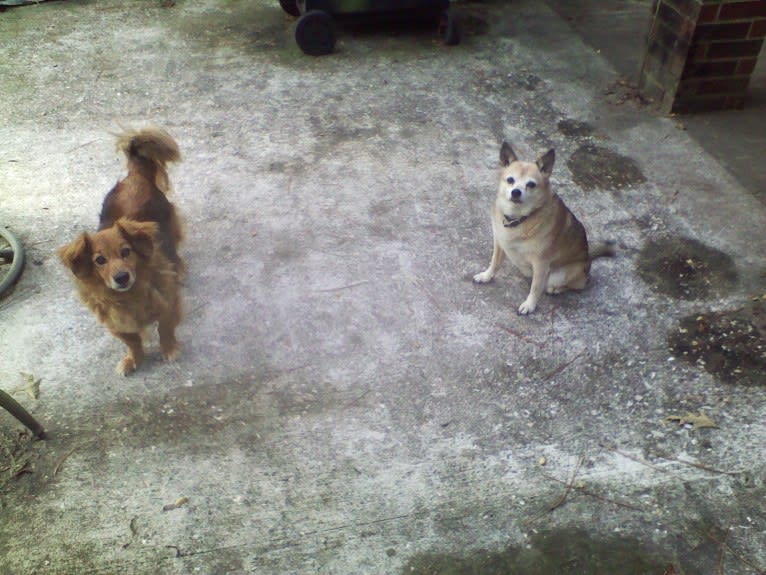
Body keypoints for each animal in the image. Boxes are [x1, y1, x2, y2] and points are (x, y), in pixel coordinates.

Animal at [59, 127, 184, 376]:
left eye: (126, 251)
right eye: (99, 260)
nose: (121, 277)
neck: (128, 296)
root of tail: (135, 176)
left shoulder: (167, 303)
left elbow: (165, 329)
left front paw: (169, 350)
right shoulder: (117, 323)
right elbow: (133, 343)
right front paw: (133, 360)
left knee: (176, 256)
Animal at [476, 142, 616, 318]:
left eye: (531, 184)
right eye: (510, 180)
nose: (516, 192)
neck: (519, 219)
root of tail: (588, 258)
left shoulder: (541, 263)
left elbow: (535, 287)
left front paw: (529, 305)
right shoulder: (500, 244)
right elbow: (494, 262)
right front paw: (486, 276)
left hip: (562, 274)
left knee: (580, 283)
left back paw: (555, 289)